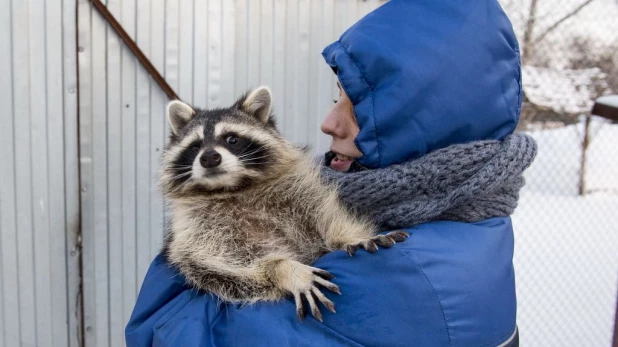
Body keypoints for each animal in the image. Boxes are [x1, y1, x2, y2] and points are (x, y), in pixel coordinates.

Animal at [161, 86, 406, 320]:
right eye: (195, 146)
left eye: (232, 139)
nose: (209, 157)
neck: (232, 188)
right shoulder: (197, 234)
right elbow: (219, 268)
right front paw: (282, 268)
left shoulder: (301, 194)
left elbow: (327, 216)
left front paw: (351, 236)